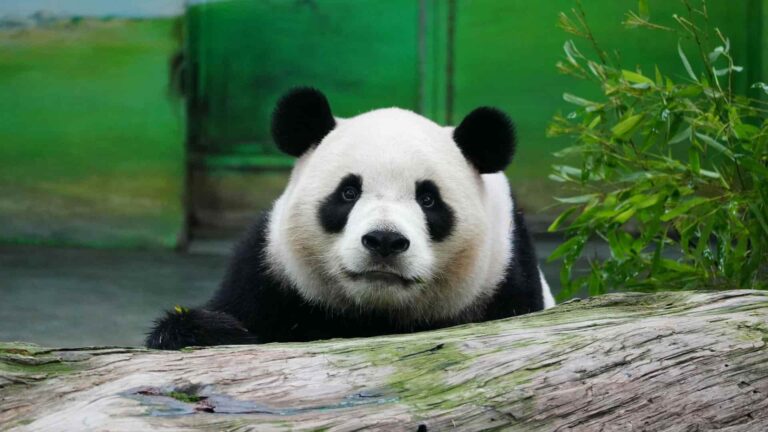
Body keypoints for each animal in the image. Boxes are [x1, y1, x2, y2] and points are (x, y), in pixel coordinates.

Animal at [146, 87, 555, 350]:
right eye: (348, 192)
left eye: (428, 199)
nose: (385, 241)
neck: (376, 315)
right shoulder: (268, 275)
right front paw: (209, 332)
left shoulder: (506, 280)